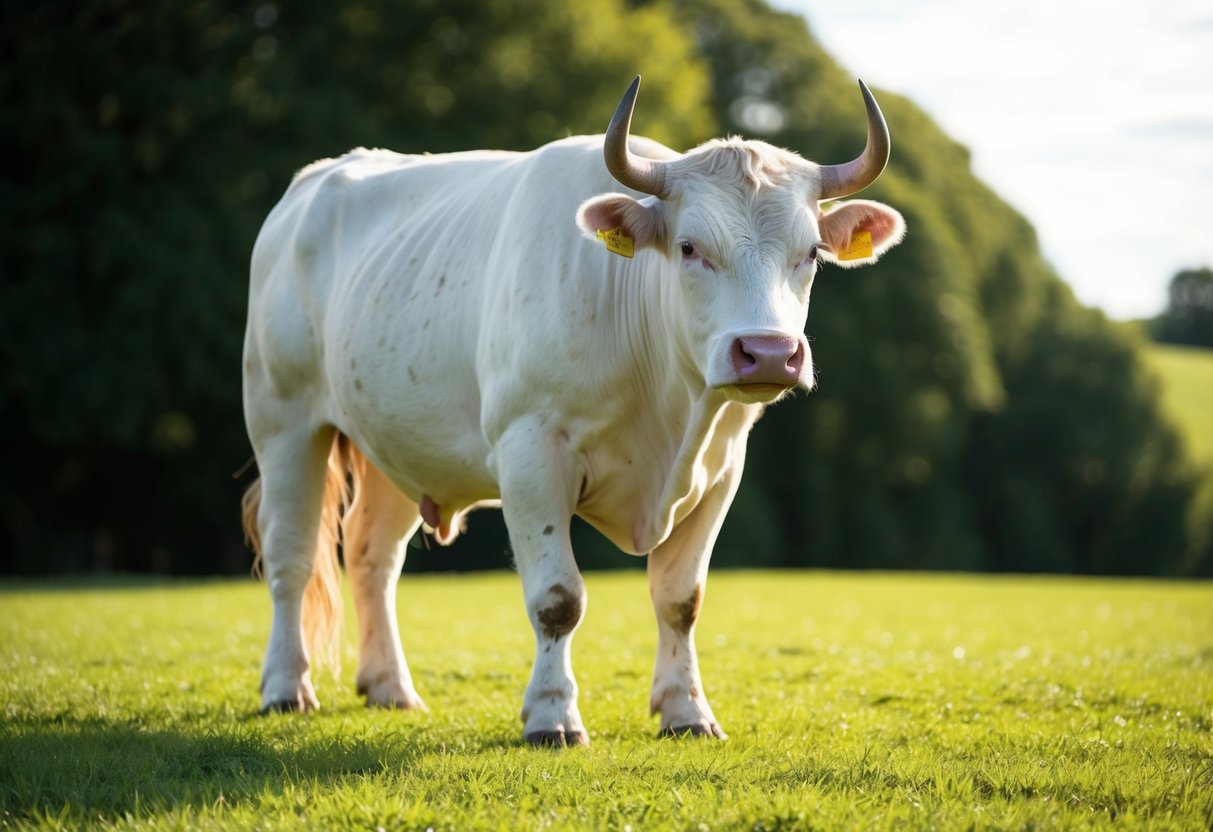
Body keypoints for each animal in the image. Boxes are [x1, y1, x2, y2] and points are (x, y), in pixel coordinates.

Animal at [243, 76, 902, 742]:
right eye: (690, 247)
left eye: (812, 252)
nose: (768, 353)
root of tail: (313, 183)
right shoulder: (530, 452)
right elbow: (558, 598)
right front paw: (552, 715)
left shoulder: (720, 470)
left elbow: (680, 599)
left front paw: (687, 710)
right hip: (284, 421)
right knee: (292, 554)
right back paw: (286, 687)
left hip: (401, 444)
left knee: (371, 556)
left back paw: (390, 688)